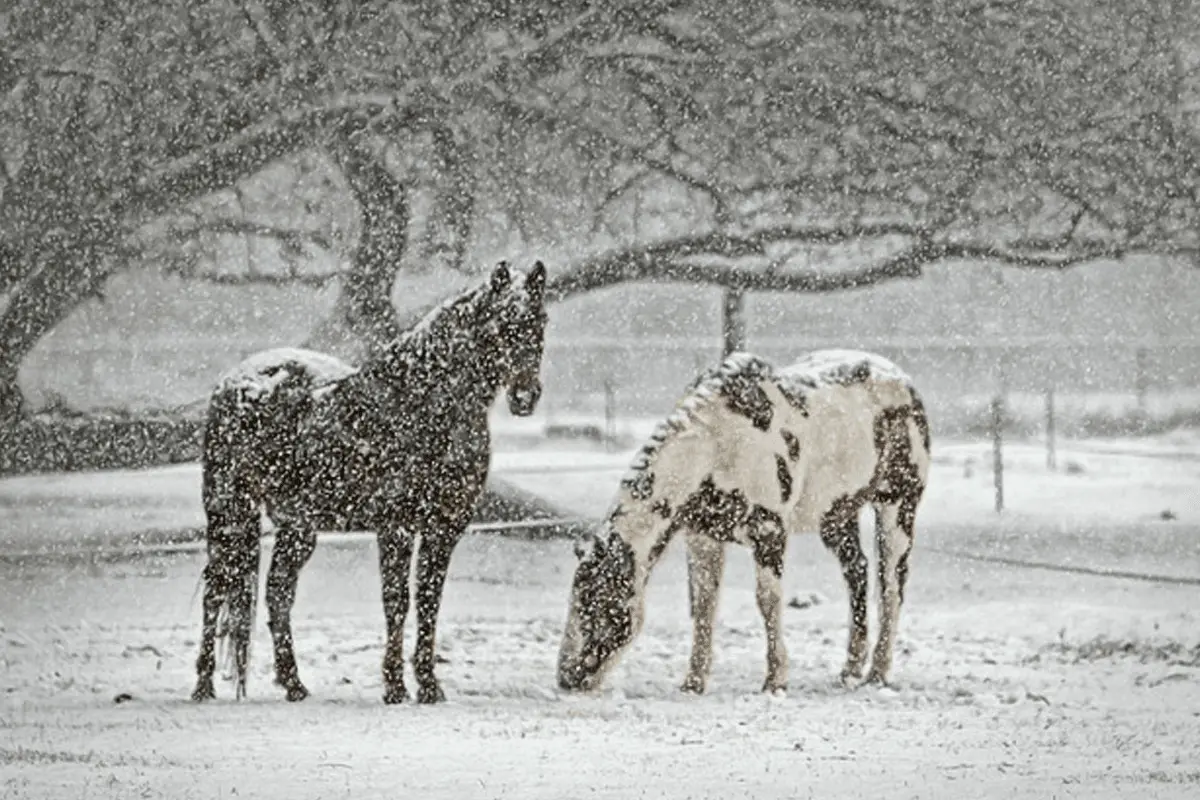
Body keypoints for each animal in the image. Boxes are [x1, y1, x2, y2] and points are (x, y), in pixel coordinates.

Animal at [191, 259, 549, 705]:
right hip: (229, 511)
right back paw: (203, 685)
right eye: (501, 323)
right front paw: (394, 686)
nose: (525, 397)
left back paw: (294, 684)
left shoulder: (444, 527)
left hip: (297, 527)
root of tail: (235, 381)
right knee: (216, 588)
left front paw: (429, 685)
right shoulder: (396, 526)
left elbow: (429, 601)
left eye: (540, 320)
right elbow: (397, 601)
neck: (423, 404)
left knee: (277, 592)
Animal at [557, 349, 931, 695]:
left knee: (891, 585)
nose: (567, 678)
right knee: (858, 573)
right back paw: (851, 669)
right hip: (837, 516)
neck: (717, 444)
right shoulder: (703, 536)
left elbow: (767, 601)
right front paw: (693, 682)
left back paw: (877, 674)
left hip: (897, 506)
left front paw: (775, 680)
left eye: (599, 604)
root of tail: (904, 381)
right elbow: (704, 605)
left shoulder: (769, 532)